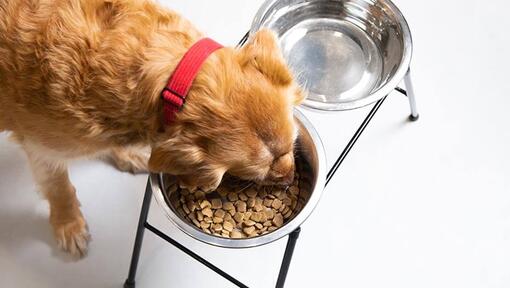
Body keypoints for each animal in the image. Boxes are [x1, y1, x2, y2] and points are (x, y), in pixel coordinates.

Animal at [0, 0, 302, 256]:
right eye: (260, 174)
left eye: (292, 145)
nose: (290, 180)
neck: (174, 83)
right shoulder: (41, 147)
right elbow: (59, 187)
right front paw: (69, 225)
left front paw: (126, 155)